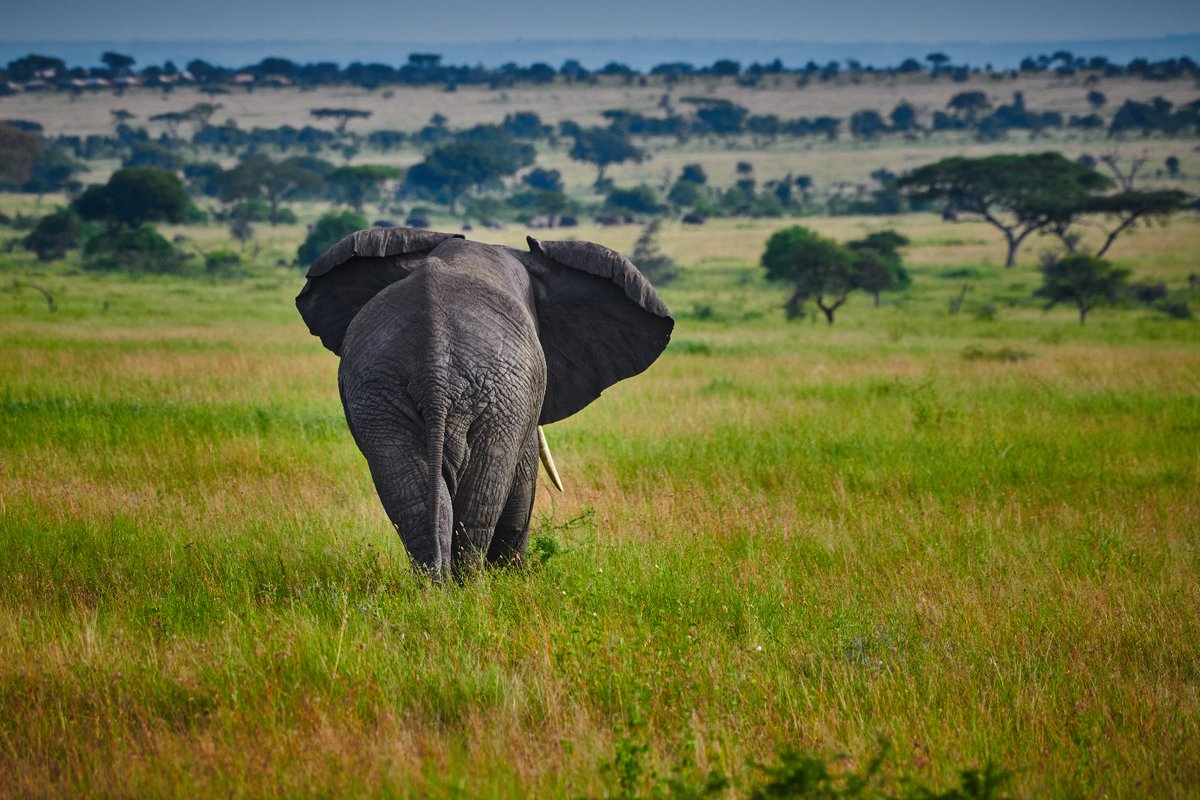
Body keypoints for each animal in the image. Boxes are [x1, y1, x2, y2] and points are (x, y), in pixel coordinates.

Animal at [297, 227, 676, 578]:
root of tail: (435, 360)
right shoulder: (521, 401)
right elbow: (523, 480)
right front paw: (514, 579)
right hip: (496, 398)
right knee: (481, 499)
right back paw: (473, 590)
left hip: (381, 394)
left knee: (412, 499)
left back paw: (436, 594)